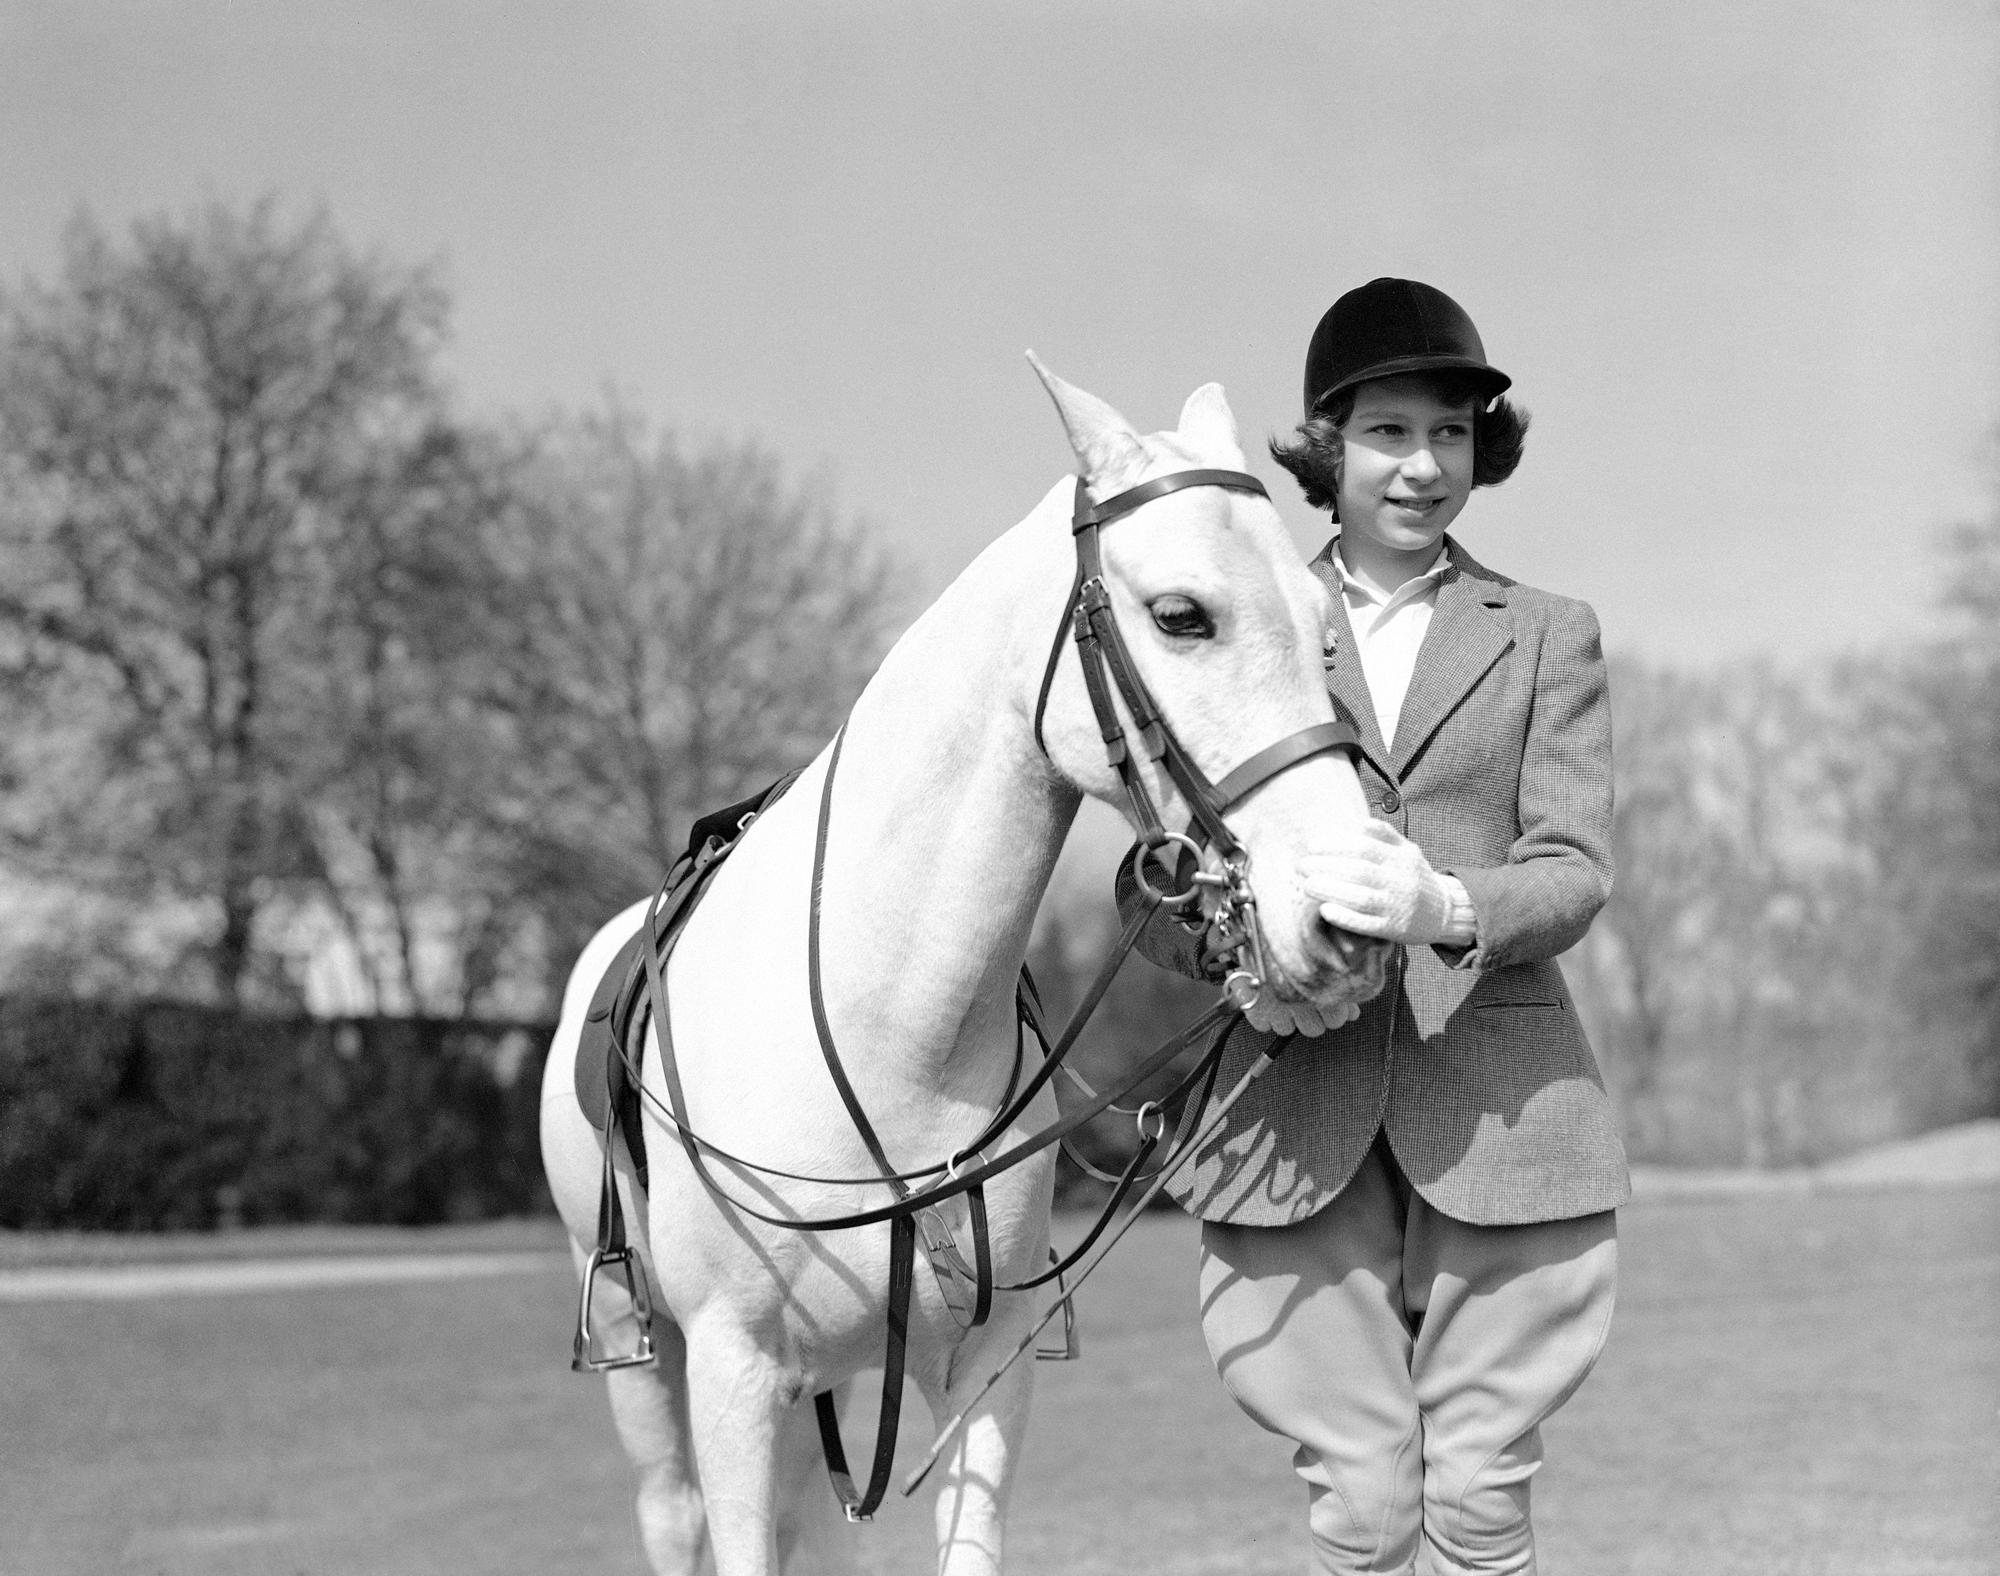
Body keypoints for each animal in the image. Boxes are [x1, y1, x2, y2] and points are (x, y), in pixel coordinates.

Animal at [540, 360, 1400, 1576]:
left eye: (1325, 629)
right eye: (1182, 615)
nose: (1347, 917)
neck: (891, 1028)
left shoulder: (980, 1373)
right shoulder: (731, 1374)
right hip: (649, 1361)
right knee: (671, 1514)